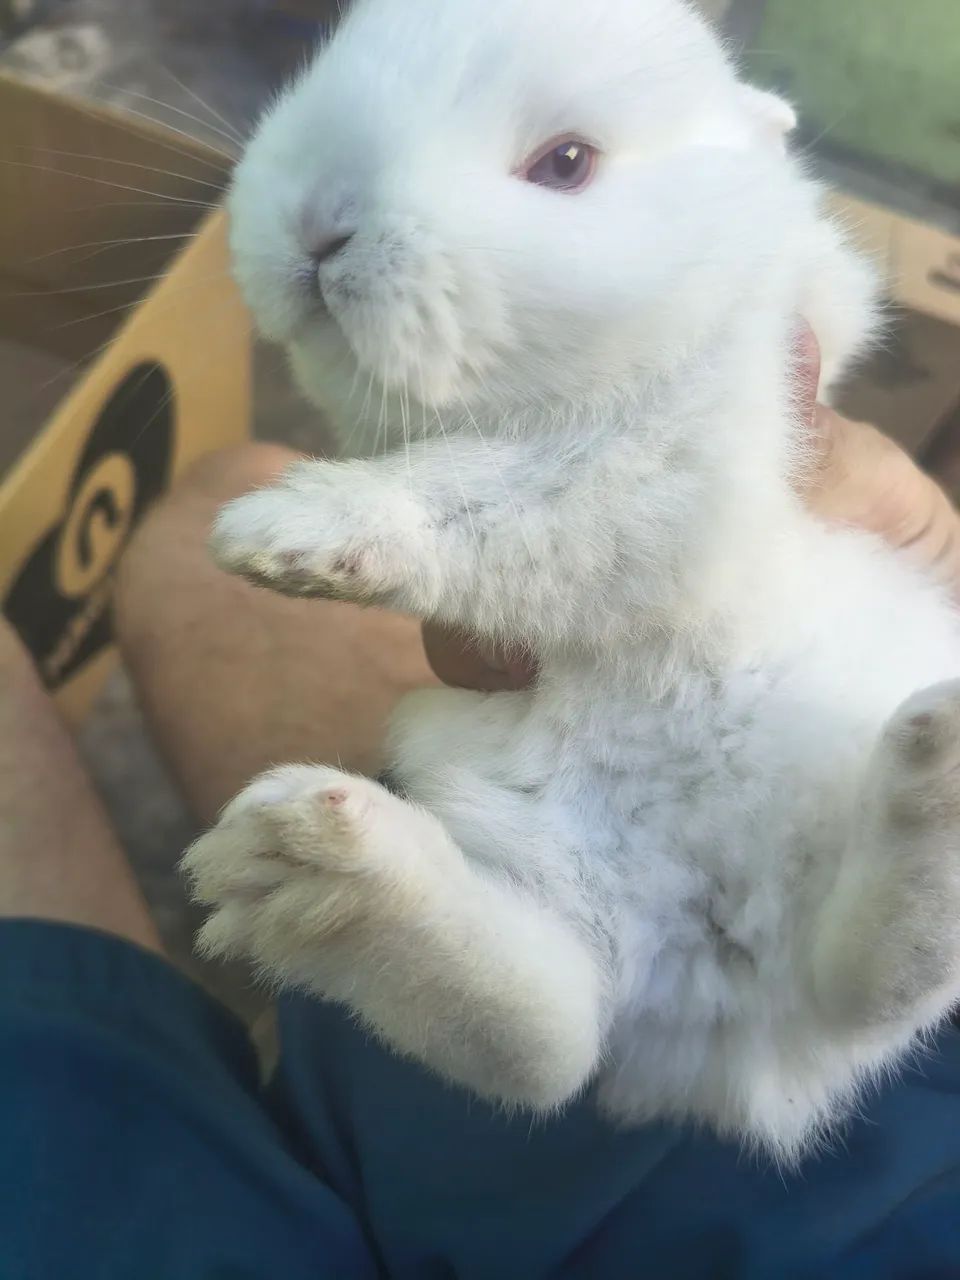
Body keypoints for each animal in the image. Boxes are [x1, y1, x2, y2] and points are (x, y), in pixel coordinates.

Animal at [183, 0, 960, 1161]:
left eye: (566, 164)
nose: (317, 227)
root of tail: (726, 1024)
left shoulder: (657, 471)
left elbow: (486, 494)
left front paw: (282, 529)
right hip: (544, 863)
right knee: (553, 1041)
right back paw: (306, 868)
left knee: (864, 988)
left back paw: (936, 761)